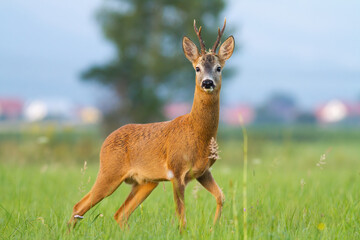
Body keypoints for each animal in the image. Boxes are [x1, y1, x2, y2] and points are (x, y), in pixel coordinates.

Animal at [68, 19, 235, 231]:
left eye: (219, 68)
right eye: (197, 68)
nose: (207, 83)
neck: (198, 133)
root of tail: (106, 140)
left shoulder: (203, 171)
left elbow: (221, 196)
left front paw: (213, 228)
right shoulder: (176, 171)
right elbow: (182, 217)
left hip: (145, 182)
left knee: (120, 214)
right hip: (109, 172)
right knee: (79, 206)